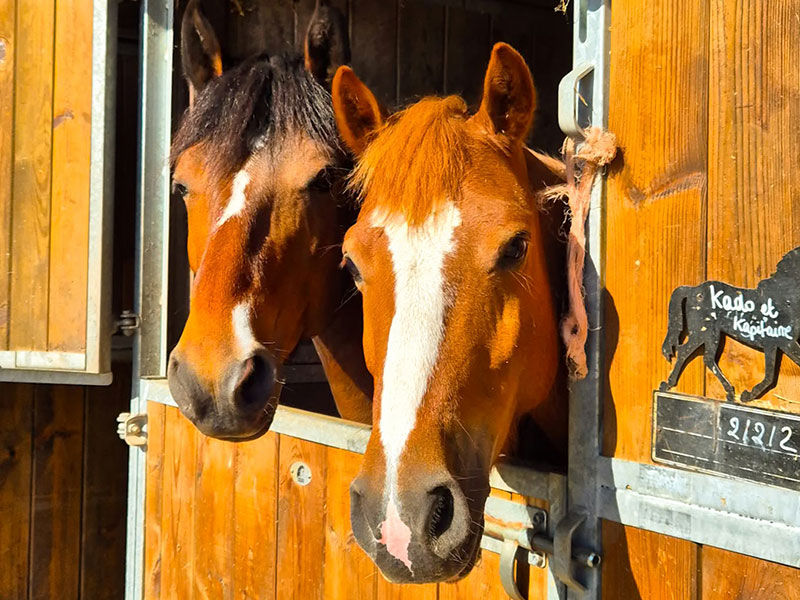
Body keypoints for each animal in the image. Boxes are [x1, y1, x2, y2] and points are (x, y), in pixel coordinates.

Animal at [660, 247, 800, 402]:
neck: (783, 297)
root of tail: (693, 290)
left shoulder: (780, 344)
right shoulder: (781, 343)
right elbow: (770, 375)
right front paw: (748, 395)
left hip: (710, 335)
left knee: (707, 358)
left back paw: (729, 392)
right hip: (703, 333)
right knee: (685, 352)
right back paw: (669, 384)